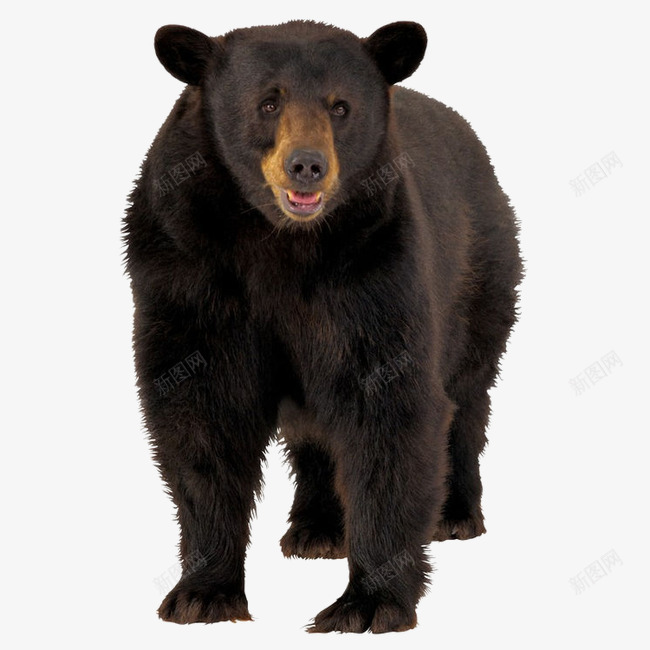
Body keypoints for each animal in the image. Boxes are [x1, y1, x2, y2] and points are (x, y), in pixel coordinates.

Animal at [123, 20, 522, 634]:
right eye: (268, 102)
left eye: (341, 107)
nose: (306, 164)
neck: (278, 242)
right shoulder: (184, 266)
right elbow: (201, 414)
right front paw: (202, 594)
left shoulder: (376, 265)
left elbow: (390, 407)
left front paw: (367, 602)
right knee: (313, 427)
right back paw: (318, 529)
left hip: (480, 274)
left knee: (468, 392)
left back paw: (455, 513)